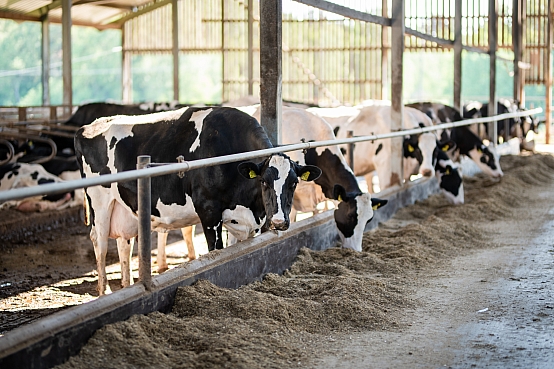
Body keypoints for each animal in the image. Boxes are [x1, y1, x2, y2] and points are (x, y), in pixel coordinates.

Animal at [74, 105, 320, 294]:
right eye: (264, 182)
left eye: (294, 183)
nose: (279, 222)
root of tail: (89, 126)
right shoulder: (208, 211)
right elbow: (216, 252)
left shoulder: (247, 221)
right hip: (99, 201)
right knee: (100, 241)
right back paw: (104, 291)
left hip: (124, 209)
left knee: (124, 243)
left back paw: (127, 284)